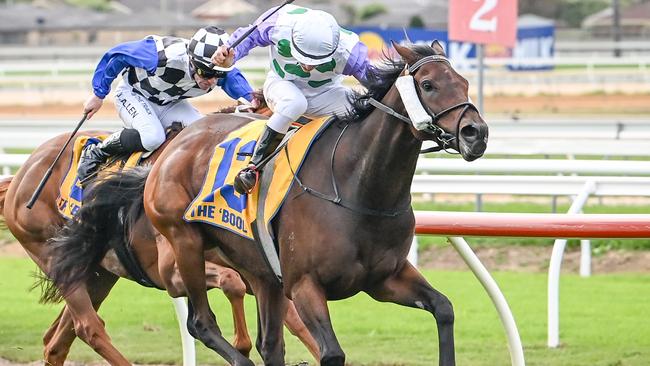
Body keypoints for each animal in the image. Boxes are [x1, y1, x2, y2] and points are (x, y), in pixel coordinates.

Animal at [0, 108, 318, 364]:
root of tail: (21, 174)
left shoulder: (266, 270)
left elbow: (296, 320)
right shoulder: (171, 270)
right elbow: (232, 283)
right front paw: (241, 344)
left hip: (98, 273)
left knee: (57, 340)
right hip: (51, 255)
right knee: (88, 326)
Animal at [44, 41, 486, 364]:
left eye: (464, 82)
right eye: (428, 85)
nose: (475, 133)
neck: (359, 185)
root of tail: (172, 147)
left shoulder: (384, 278)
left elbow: (444, 309)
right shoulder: (305, 284)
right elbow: (331, 353)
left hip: (259, 271)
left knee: (269, 342)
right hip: (185, 242)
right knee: (201, 323)